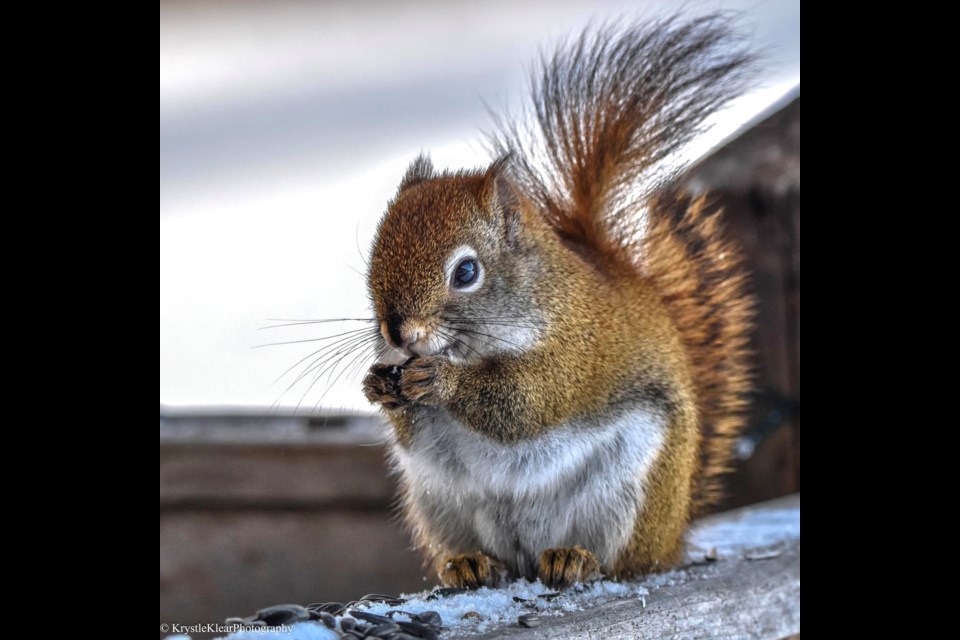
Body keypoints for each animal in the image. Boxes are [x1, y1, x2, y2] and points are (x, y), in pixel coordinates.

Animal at [364, 12, 752, 588]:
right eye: (375, 252)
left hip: (629, 491)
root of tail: (674, 533)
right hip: (439, 502)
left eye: (466, 272)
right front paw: (377, 384)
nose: (396, 331)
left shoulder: (574, 350)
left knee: (623, 561)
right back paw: (471, 563)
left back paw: (576, 558)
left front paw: (442, 382)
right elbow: (410, 430)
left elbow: (525, 403)